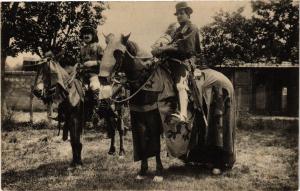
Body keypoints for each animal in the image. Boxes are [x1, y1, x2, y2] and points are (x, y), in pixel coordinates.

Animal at [101, 33, 237, 181]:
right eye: (104, 50)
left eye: (118, 52)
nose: (102, 78)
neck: (146, 81)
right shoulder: (140, 118)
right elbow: (143, 145)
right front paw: (142, 171)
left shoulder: (154, 120)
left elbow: (155, 145)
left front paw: (159, 173)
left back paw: (217, 166)